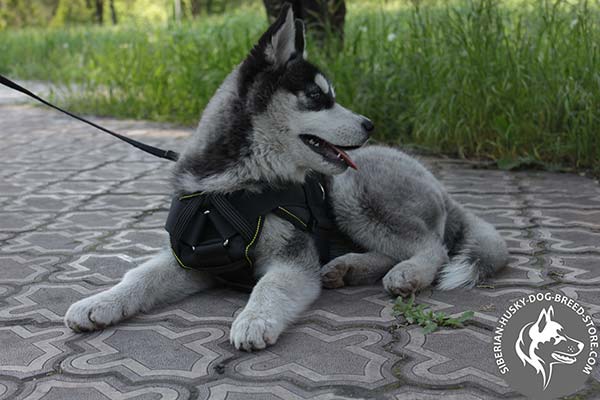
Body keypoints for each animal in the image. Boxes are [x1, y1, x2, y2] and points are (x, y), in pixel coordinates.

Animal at [64, 5, 506, 350]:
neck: (233, 187)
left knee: (432, 247)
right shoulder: (193, 259)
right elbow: (140, 276)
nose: (370, 125)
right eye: (317, 97)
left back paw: (405, 273)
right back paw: (346, 267)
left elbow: (270, 286)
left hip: (350, 193)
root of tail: (443, 191)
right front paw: (100, 302)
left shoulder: (291, 259)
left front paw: (254, 319)